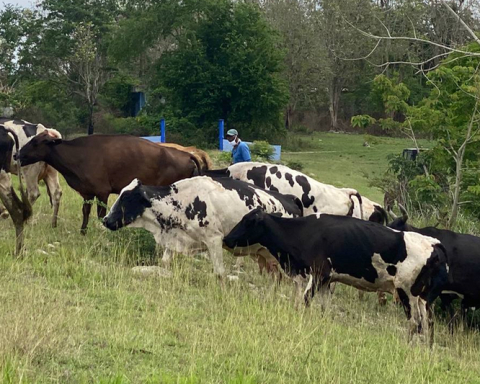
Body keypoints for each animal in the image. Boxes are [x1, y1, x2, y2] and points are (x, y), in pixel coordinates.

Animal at [15, 132, 202, 234]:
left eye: (35, 142)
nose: (17, 155)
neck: (79, 154)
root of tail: (187, 154)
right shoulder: (87, 193)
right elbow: (85, 212)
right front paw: (83, 232)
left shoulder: (102, 192)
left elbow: (100, 214)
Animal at [102, 176, 302, 278]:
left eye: (126, 198)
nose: (105, 220)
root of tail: (290, 199)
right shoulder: (175, 239)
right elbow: (165, 262)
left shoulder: (214, 240)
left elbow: (220, 272)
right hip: (262, 254)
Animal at [225, 210, 450, 344]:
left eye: (248, 221)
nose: (226, 239)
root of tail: (433, 243)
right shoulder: (327, 280)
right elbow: (324, 307)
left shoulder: (319, 273)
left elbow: (305, 300)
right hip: (423, 298)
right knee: (427, 324)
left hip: (406, 292)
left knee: (415, 323)